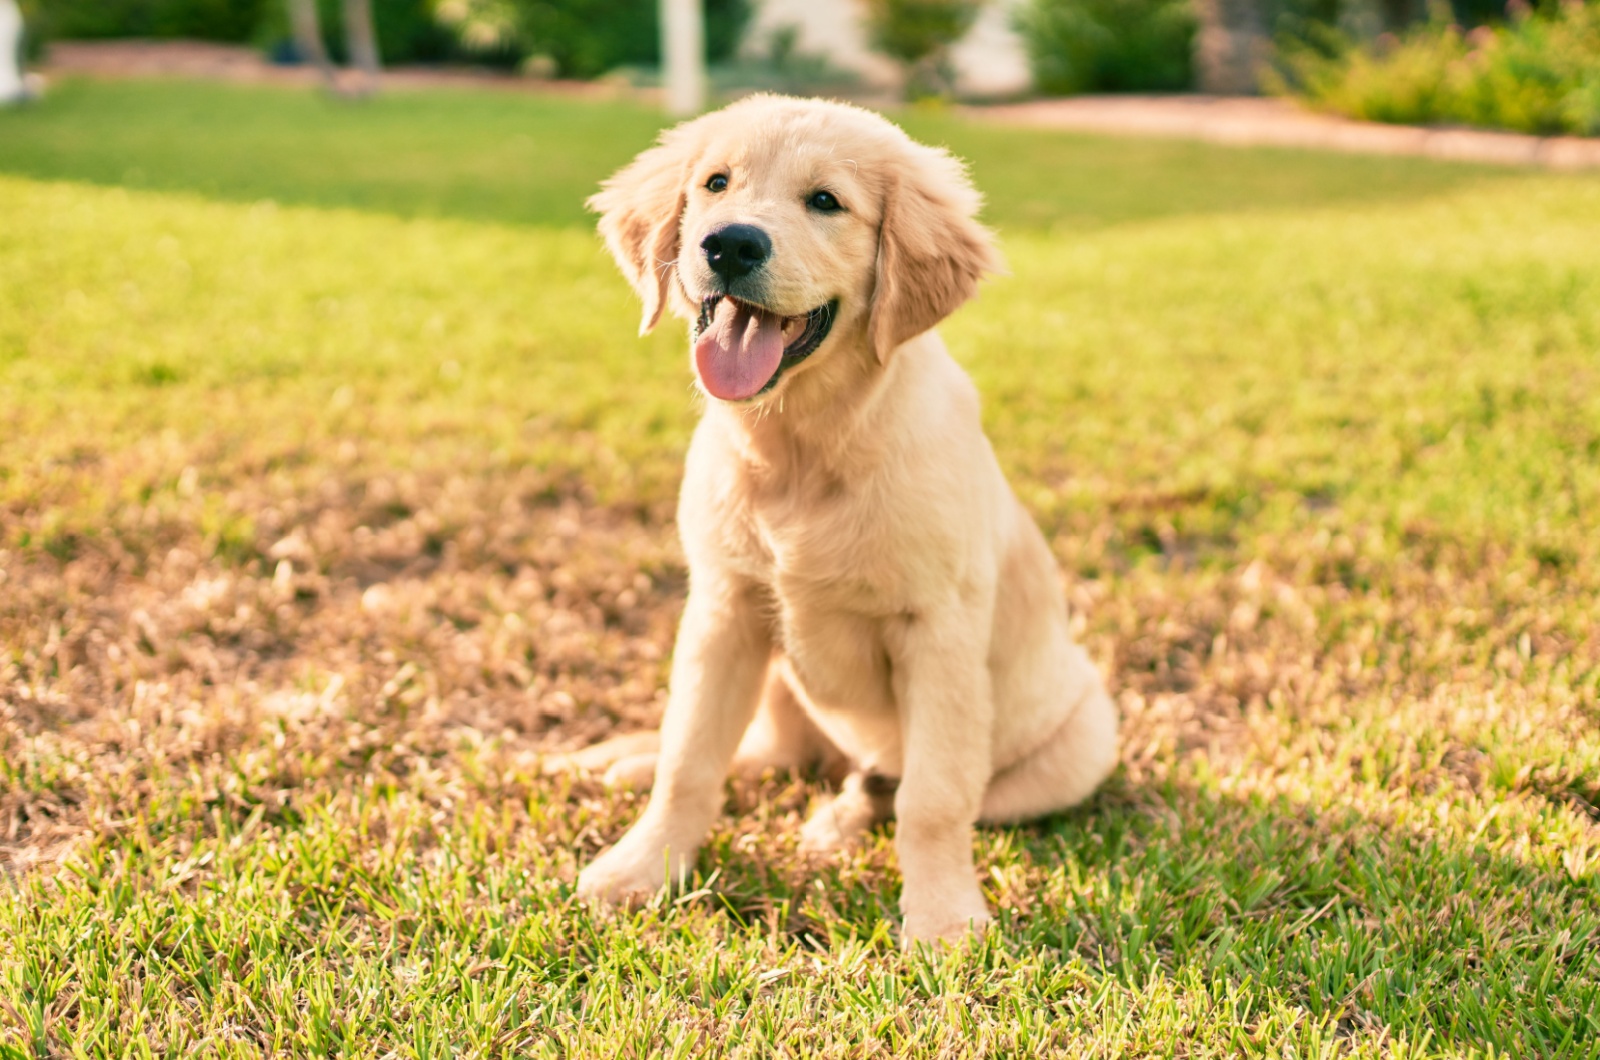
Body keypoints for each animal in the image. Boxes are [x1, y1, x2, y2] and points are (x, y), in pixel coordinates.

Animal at [572, 97, 1113, 947]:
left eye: (826, 201)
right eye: (715, 183)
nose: (729, 243)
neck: (802, 447)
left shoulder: (939, 631)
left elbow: (935, 797)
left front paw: (942, 919)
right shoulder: (725, 609)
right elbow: (690, 756)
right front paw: (643, 867)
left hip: (1083, 739)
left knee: (908, 787)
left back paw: (837, 818)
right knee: (769, 750)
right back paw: (630, 759)